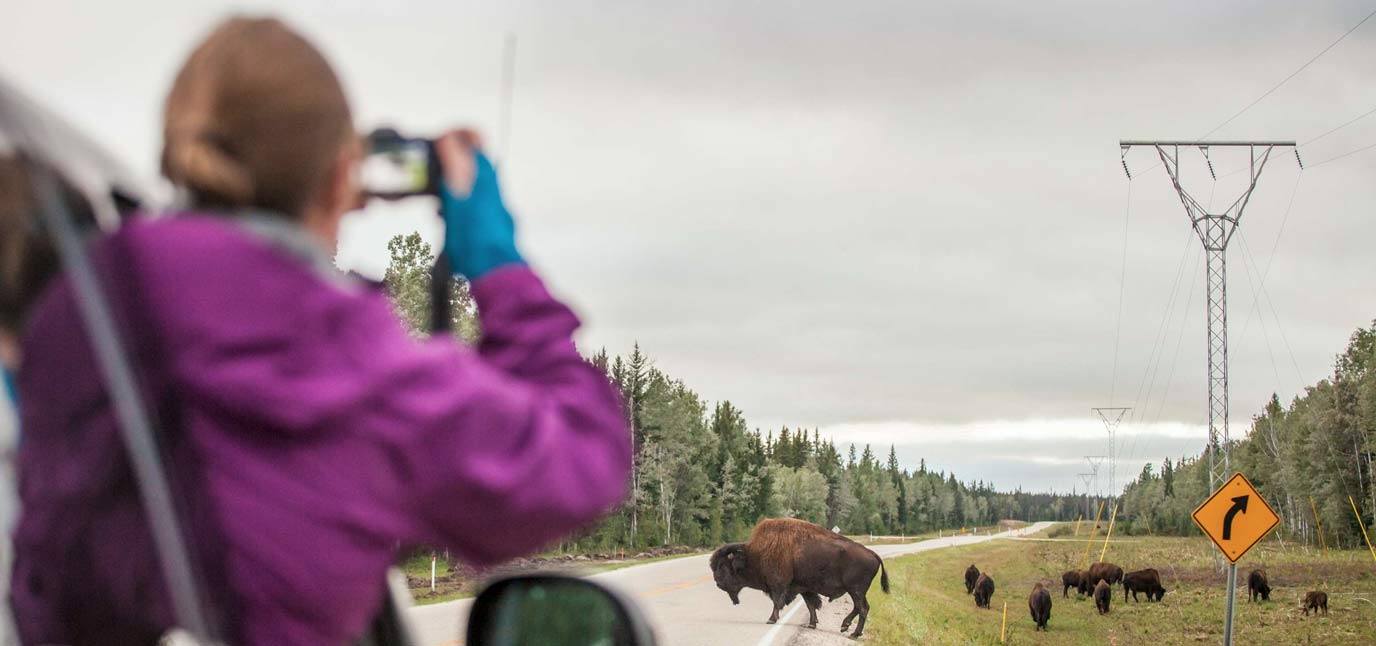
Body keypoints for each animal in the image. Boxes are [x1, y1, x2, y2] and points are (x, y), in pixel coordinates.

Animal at [710, 518, 889, 638]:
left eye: (722, 566)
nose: (717, 582)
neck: (754, 554)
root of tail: (873, 554)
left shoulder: (778, 585)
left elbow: (777, 602)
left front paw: (771, 620)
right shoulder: (804, 588)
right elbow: (811, 605)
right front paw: (811, 624)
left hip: (855, 590)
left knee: (861, 608)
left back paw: (850, 631)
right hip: (858, 591)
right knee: (862, 607)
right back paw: (849, 629)